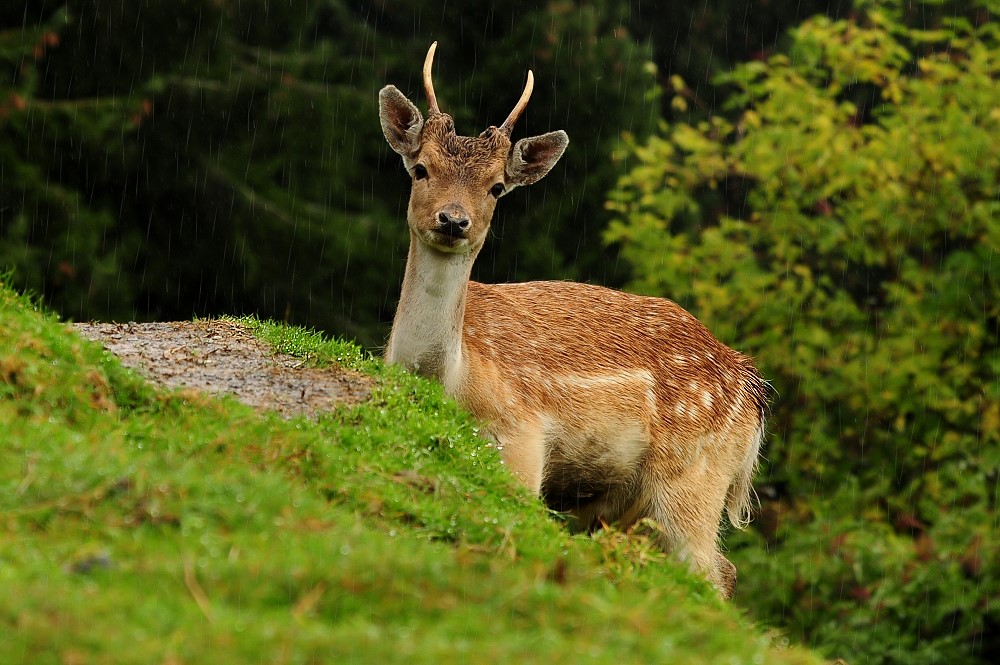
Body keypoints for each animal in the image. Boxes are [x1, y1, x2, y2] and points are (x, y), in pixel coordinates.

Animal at [380, 44, 764, 600]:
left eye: (497, 187)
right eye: (420, 169)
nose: (453, 220)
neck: (449, 376)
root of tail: (753, 392)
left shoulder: (520, 435)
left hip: (695, 473)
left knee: (709, 570)